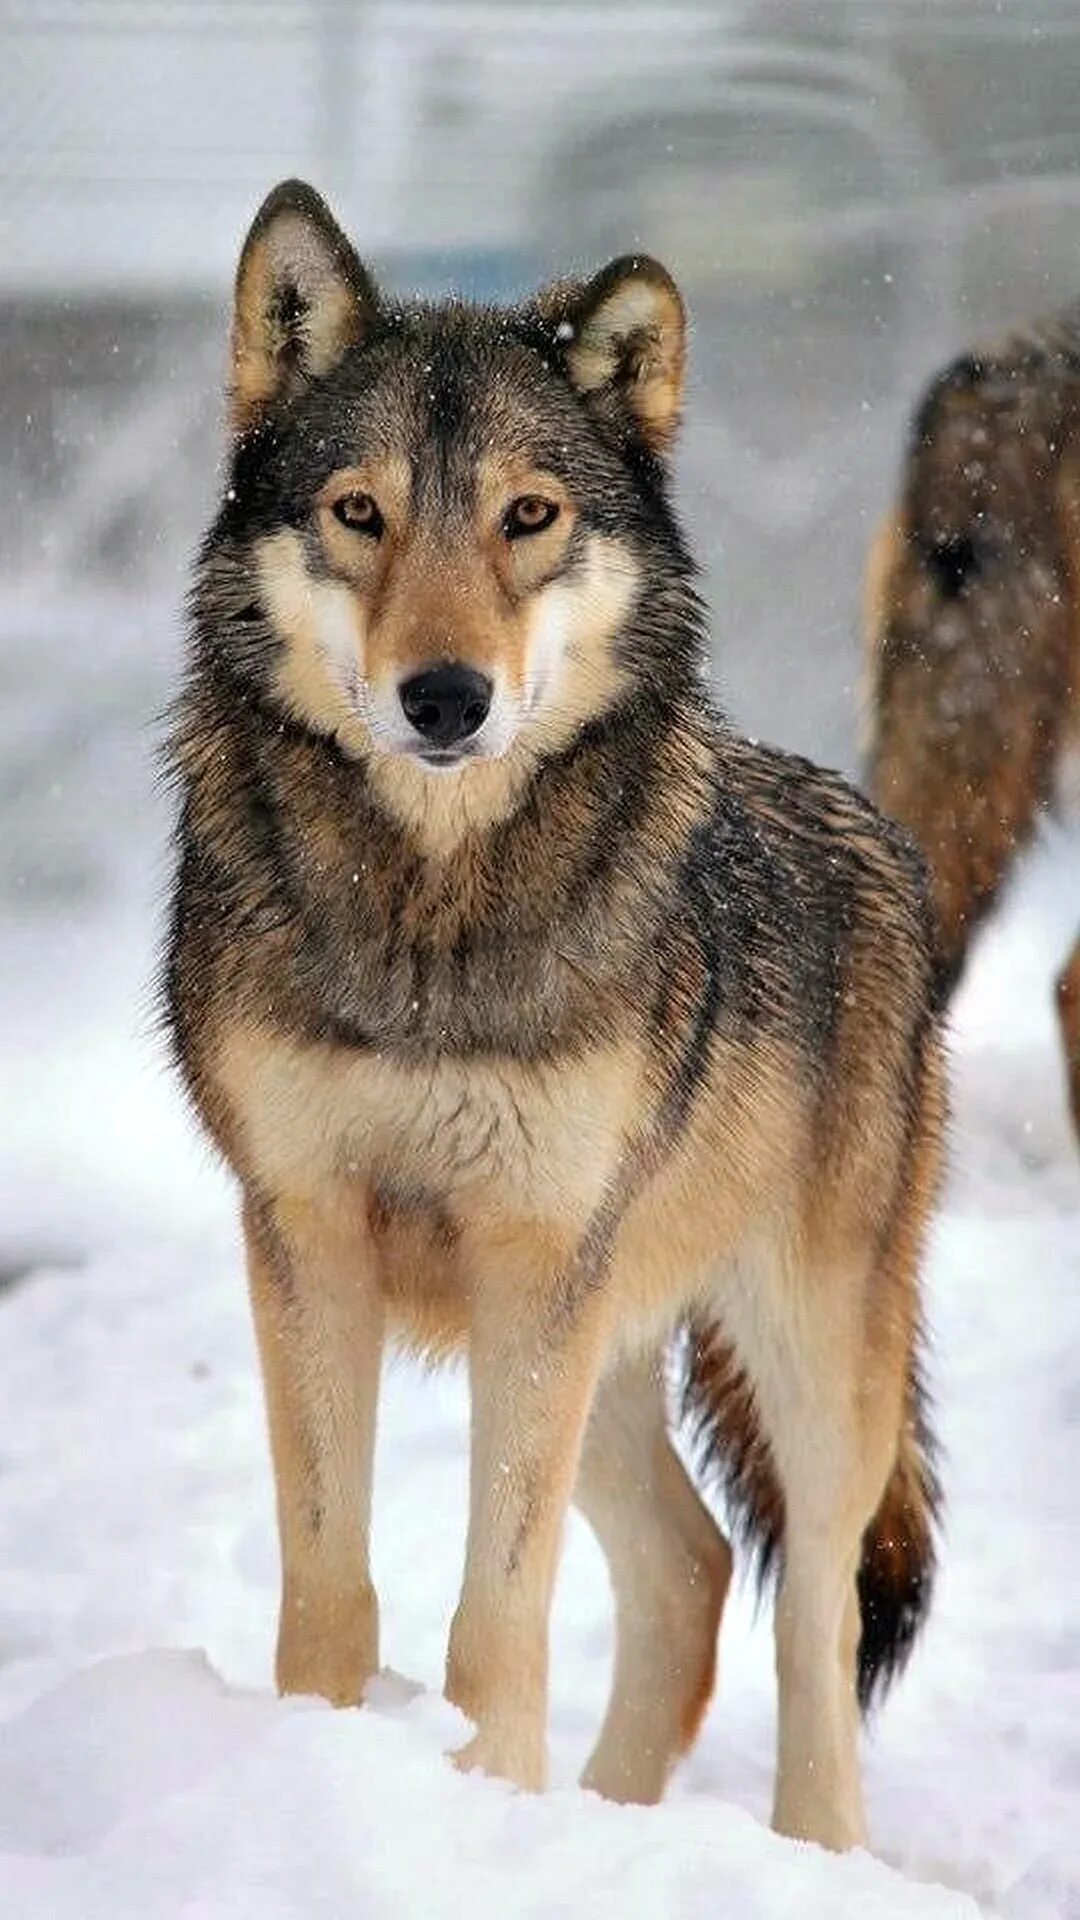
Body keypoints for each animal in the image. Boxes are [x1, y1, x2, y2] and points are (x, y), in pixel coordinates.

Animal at [161, 183, 941, 1858]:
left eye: (528, 517)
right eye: (361, 512)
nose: (444, 698)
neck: (431, 926)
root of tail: (879, 834)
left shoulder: (534, 1262)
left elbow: (496, 1614)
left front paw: (479, 1795)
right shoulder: (304, 1234)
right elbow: (330, 1583)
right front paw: (332, 1766)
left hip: (796, 1351)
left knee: (816, 1613)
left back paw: (808, 1852)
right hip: (613, 1343)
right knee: (694, 1568)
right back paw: (603, 1822)